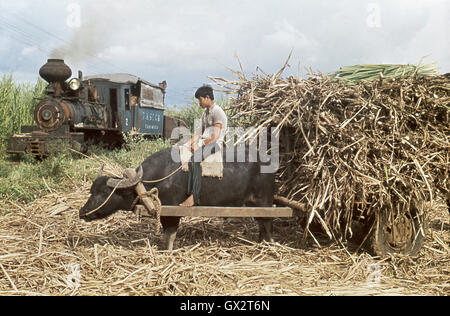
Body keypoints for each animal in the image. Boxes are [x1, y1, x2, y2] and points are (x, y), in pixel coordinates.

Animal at [79, 147, 276, 251]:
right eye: (91, 190)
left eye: (104, 192)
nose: (82, 212)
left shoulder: (172, 212)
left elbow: (170, 235)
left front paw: (167, 250)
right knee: (261, 222)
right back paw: (260, 242)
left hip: (264, 201)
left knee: (267, 223)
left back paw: (267, 244)